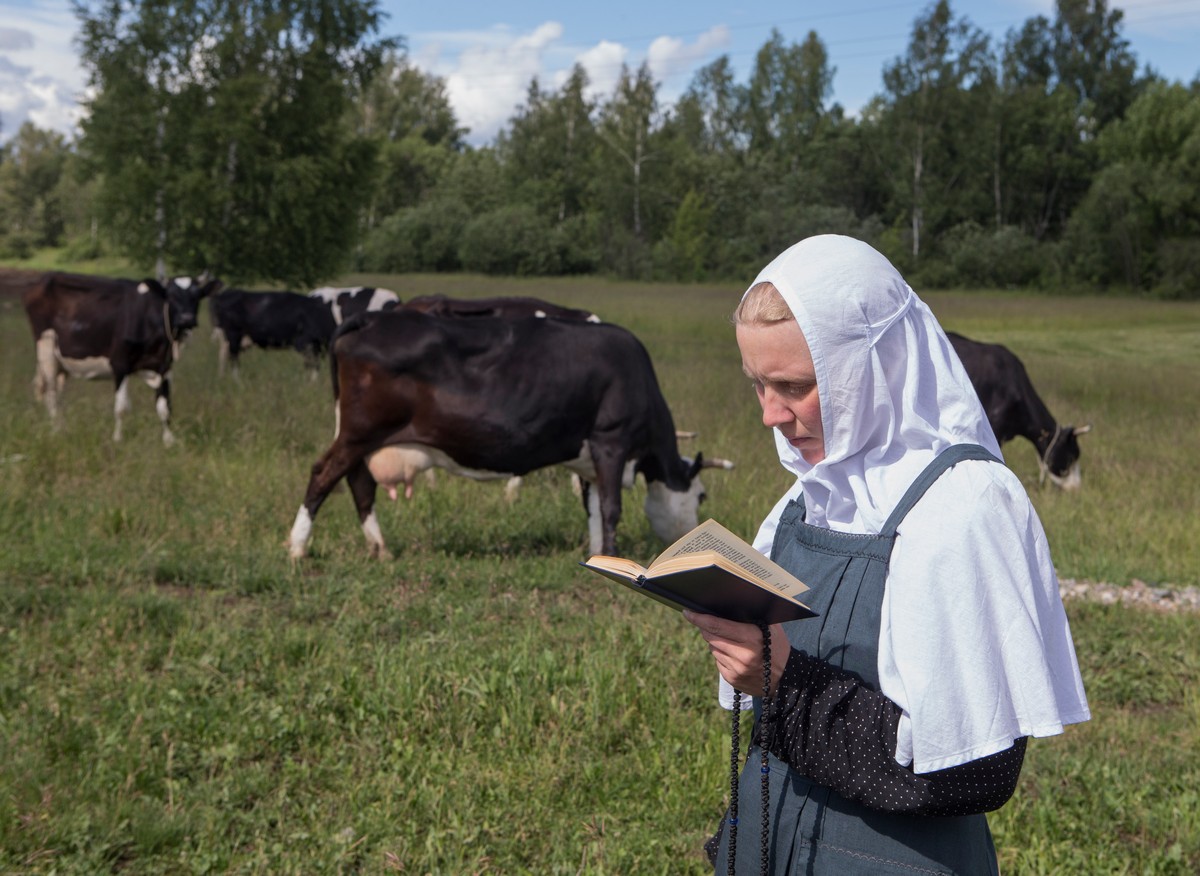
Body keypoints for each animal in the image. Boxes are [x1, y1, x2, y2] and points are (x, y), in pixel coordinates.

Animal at [22, 270, 220, 444]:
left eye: (197, 295)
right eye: (171, 296)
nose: (187, 319)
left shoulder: (164, 367)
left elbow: (165, 407)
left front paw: (169, 441)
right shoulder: (119, 364)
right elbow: (121, 408)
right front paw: (117, 439)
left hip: (62, 363)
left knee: (57, 393)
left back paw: (63, 427)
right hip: (46, 350)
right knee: (51, 394)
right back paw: (56, 431)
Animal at [288, 307, 729, 559]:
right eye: (701, 496)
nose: (695, 539)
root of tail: (373, 318)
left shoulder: (588, 456)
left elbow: (591, 508)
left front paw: (596, 554)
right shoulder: (611, 441)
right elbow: (611, 508)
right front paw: (614, 555)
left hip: (362, 437)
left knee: (359, 482)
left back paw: (379, 548)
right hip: (359, 432)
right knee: (323, 474)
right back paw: (298, 548)